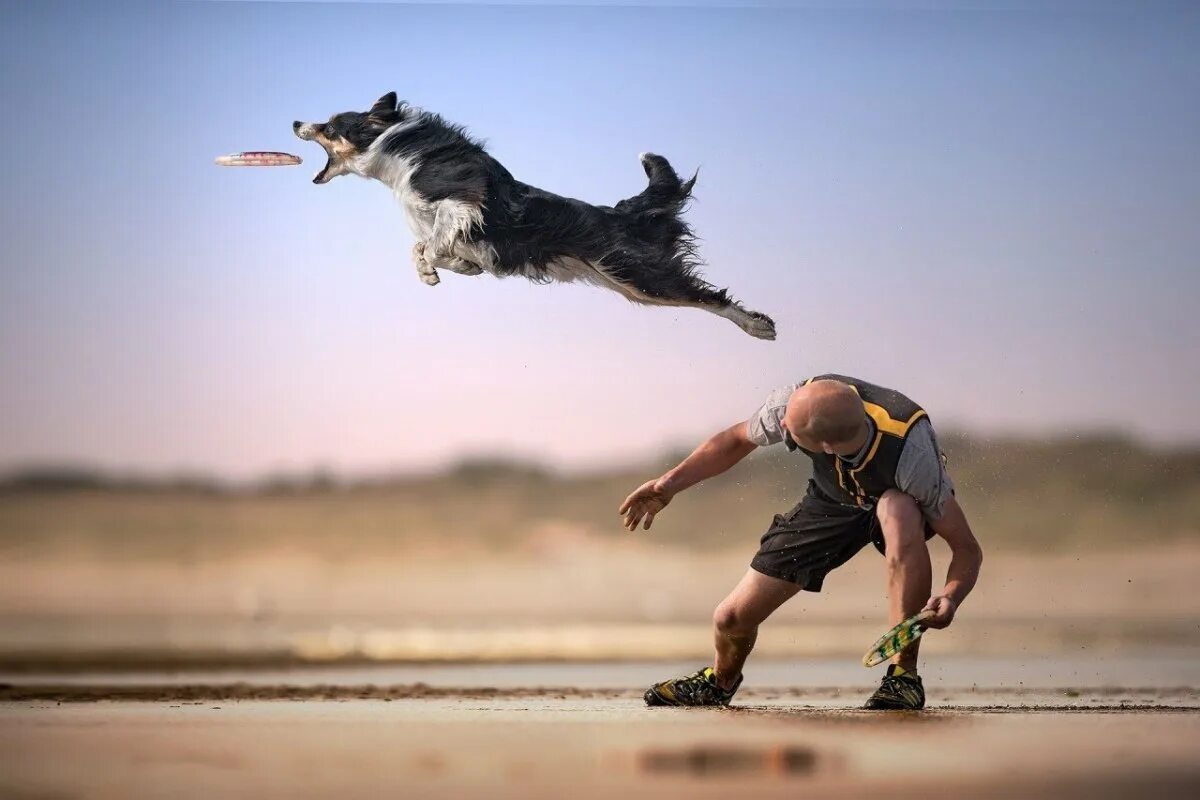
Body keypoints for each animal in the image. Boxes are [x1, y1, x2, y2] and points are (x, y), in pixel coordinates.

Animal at [294, 92, 772, 338]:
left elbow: (429, 244)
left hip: (637, 274)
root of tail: (620, 215)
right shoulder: (455, 225)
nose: (296, 121)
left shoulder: (462, 200)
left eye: (330, 126)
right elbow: (426, 248)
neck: (394, 150)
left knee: (709, 295)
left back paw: (759, 325)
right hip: (632, 286)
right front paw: (452, 270)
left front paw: (440, 268)